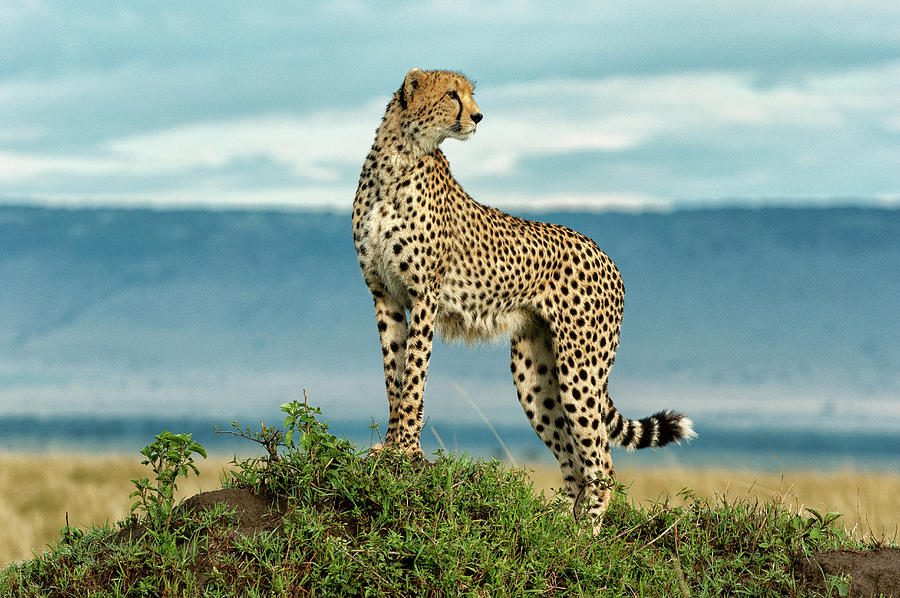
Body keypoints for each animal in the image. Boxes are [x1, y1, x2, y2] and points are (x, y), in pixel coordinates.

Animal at [354, 69, 696, 528]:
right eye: (452, 94)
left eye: (470, 94)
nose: (479, 116)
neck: (400, 157)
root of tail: (606, 256)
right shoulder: (385, 296)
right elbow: (394, 373)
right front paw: (390, 446)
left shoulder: (425, 297)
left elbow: (414, 377)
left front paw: (406, 449)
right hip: (535, 375)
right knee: (573, 462)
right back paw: (558, 529)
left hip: (580, 369)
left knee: (601, 462)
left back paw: (585, 534)